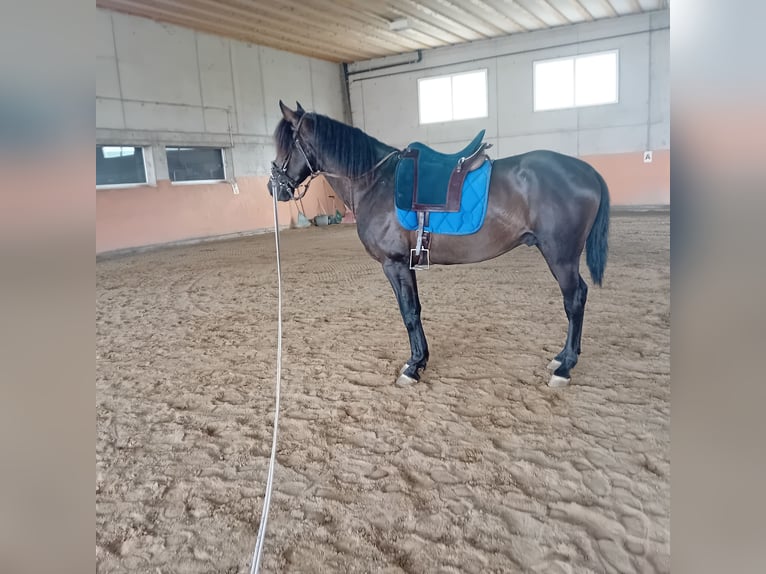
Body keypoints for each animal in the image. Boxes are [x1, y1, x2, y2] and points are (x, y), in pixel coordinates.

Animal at [270, 103, 612, 392]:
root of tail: (587, 172)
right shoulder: (406, 264)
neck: (374, 180)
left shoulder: (394, 264)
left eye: (287, 144)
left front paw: (412, 368)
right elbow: (416, 310)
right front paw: (420, 360)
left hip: (560, 256)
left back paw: (564, 367)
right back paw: (562, 358)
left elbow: (408, 313)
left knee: (574, 300)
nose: (274, 187)